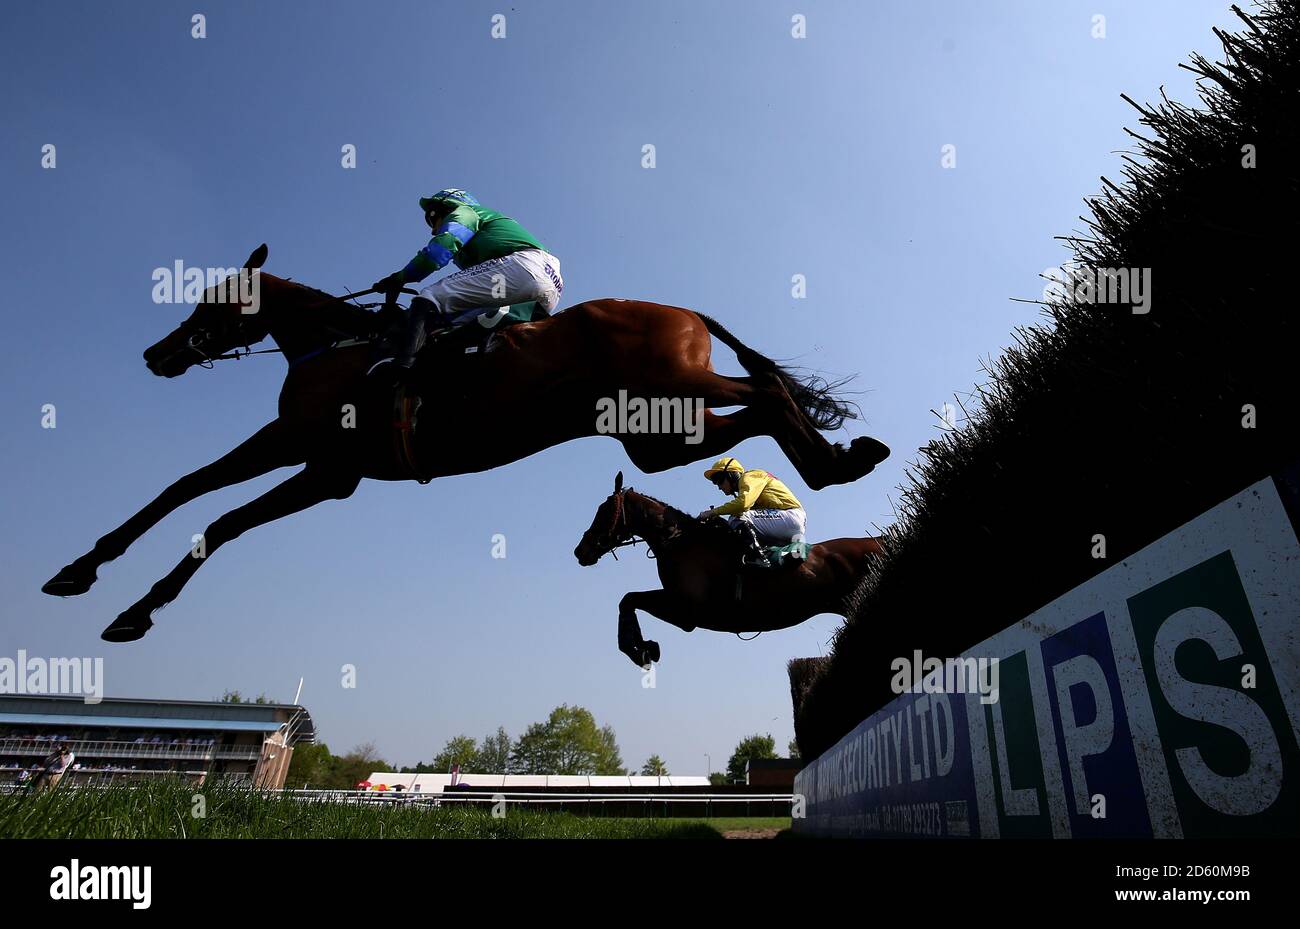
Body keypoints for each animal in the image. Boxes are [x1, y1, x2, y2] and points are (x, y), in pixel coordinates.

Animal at [45, 242, 889, 644]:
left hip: (669, 392)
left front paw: (136, 610)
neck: (335, 344)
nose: (158, 352)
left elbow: (217, 517)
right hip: (651, 430)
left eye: (214, 299)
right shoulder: (305, 451)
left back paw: (837, 461)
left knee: (766, 392)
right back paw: (836, 462)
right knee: (756, 408)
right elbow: (184, 487)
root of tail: (684, 311)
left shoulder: (324, 463)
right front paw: (81, 569)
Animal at [572, 475, 883, 665]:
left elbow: (629, 599)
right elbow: (628, 599)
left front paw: (640, 649)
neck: (679, 541)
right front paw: (643, 647)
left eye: (603, 512)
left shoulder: (686, 610)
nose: (580, 551)